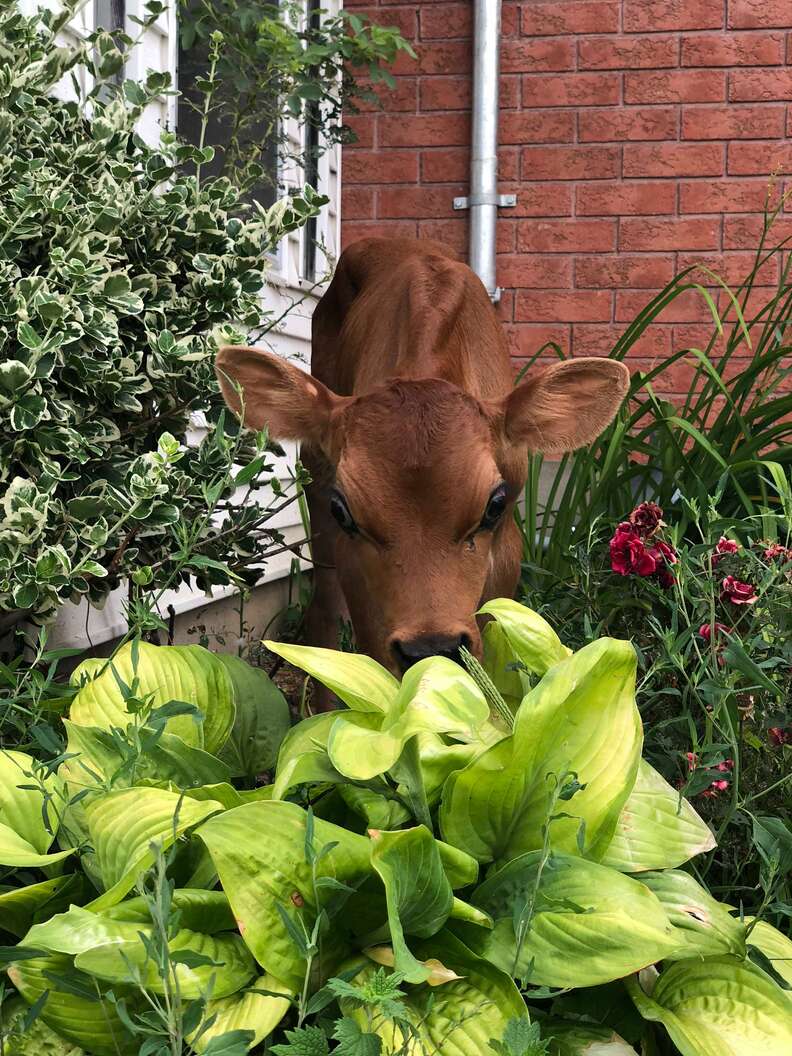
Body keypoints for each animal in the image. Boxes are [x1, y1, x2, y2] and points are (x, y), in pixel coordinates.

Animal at [214, 239, 629, 675]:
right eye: (343, 510)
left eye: (496, 505)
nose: (431, 647)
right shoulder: (354, 565)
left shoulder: (508, 552)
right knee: (324, 608)